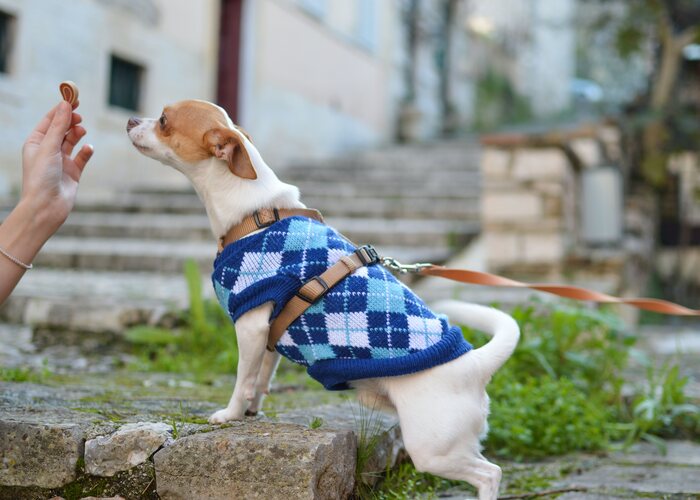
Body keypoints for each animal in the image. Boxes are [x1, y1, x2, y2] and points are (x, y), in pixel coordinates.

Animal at [126, 99, 520, 498]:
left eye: (164, 120)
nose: (130, 119)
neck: (256, 213)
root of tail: (475, 364)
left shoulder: (250, 326)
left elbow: (242, 379)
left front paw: (230, 415)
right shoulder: (269, 335)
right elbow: (261, 379)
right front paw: (253, 411)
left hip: (432, 449)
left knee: (490, 472)